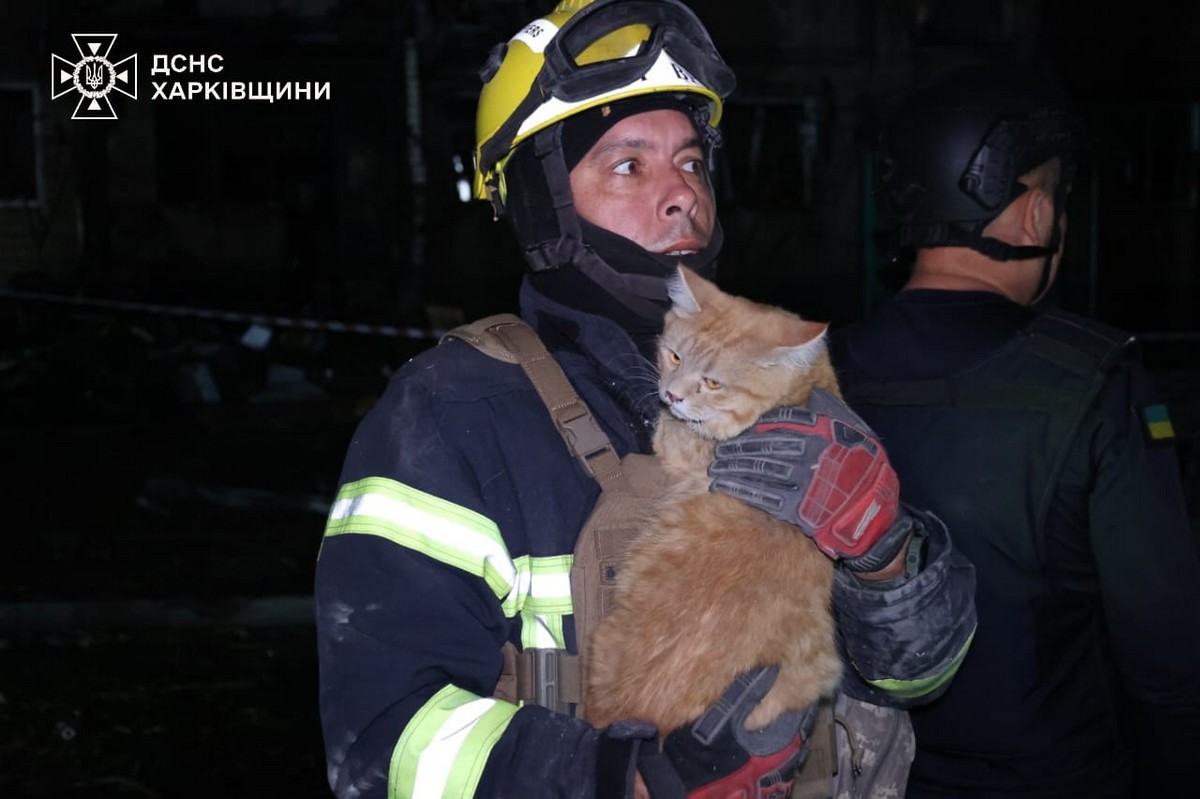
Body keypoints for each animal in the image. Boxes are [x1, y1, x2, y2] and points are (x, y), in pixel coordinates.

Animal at [580, 266, 844, 734]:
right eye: (675, 357)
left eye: (714, 382)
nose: (672, 394)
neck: (800, 392)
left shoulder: (678, 443)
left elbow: (669, 429)